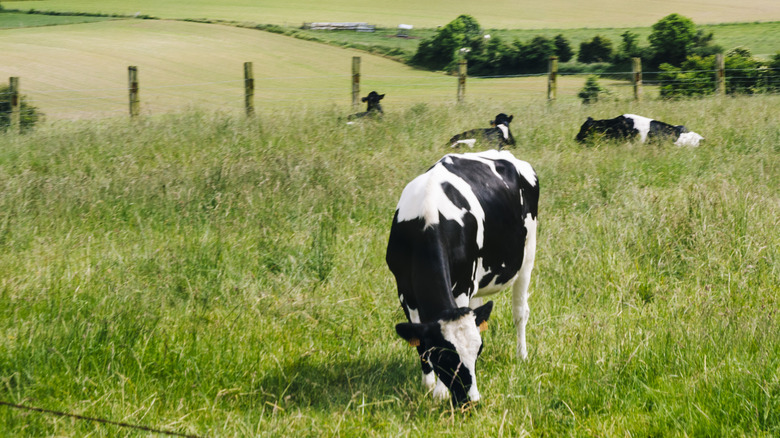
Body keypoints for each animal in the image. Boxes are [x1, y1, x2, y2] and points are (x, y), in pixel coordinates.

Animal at [386, 151, 540, 408]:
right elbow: (420, 342)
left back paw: (522, 355)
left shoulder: (461, 286)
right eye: (445, 357)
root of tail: (504, 154)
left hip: (527, 253)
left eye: (477, 352)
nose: (471, 401)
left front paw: (439, 392)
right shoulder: (404, 290)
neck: (428, 219)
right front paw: (429, 385)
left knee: (520, 312)